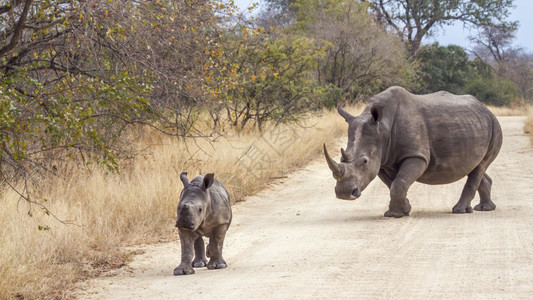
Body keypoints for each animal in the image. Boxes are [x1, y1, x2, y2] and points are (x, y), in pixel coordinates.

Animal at [322, 86, 500, 218]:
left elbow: (399, 182)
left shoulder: (416, 155)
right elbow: (393, 184)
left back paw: (460, 211)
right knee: (475, 167)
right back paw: (484, 208)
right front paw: (403, 210)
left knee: (480, 166)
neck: (382, 128)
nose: (344, 193)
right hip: (474, 124)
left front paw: (396, 214)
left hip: (494, 126)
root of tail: (485, 109)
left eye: (364, 161)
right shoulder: (383, 160)